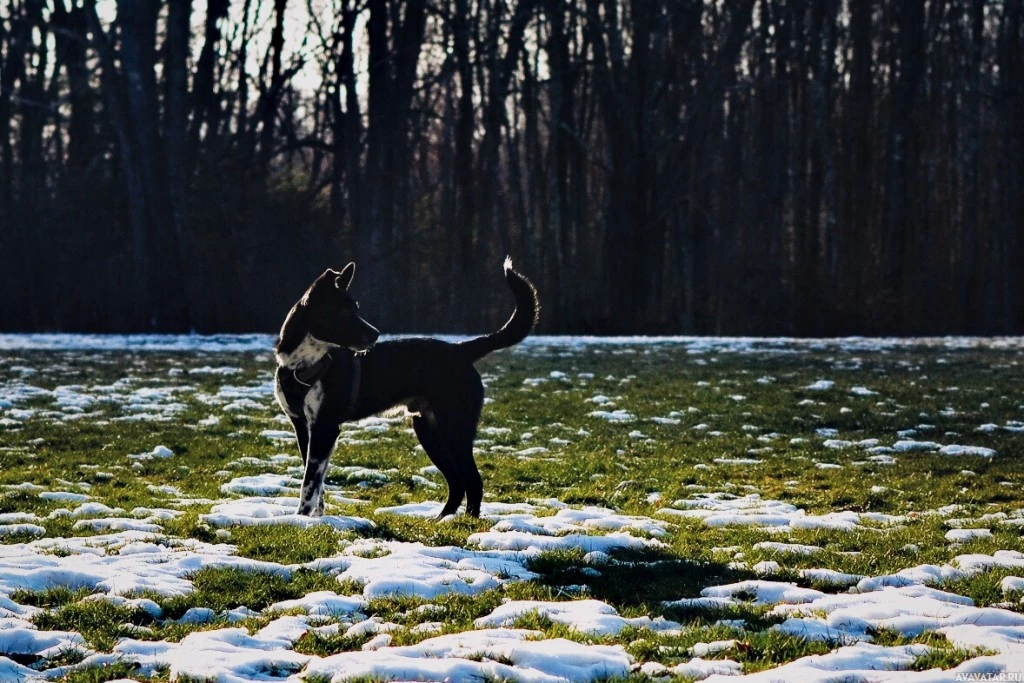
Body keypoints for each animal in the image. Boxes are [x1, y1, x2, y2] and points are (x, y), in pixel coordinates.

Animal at [276, 260, 540, 518]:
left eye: (356, 309)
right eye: (342, 312)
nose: (376, 334)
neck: (301, 363)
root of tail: (460, 349)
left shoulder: (325, 427)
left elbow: (309, 483)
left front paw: (300, 519)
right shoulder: (304, 427)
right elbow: (316, 482)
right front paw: (315, 518)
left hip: (455, 428)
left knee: (473, 481)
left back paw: (467, 523)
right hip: (429, 430)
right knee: (457, 482)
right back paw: (441, 520)